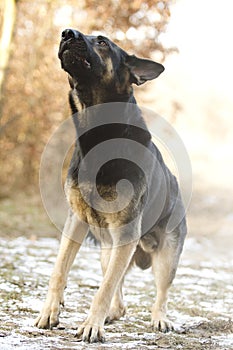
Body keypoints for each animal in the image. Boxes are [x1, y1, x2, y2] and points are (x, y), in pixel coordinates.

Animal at [34, 29, 187, 342]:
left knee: (160, 293)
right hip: (109, 251)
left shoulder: (126, 230)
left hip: (166, 257)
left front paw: (92, 325)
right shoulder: (76, 221)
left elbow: (103, 289)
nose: (67, 32)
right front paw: (50, 311)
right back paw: (112, 314)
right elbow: (59, 270)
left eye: (102, 42)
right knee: (116, 286)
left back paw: (159, 319)